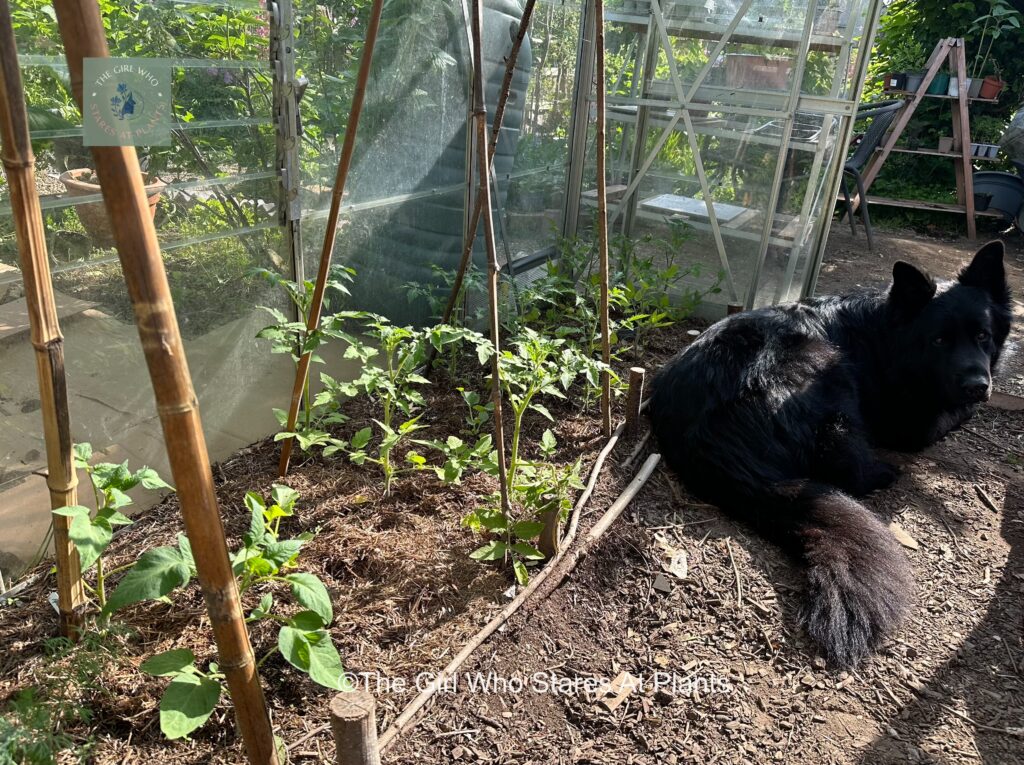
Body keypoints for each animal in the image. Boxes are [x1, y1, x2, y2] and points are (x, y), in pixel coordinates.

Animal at [647, 242, 1007, 667]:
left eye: (983, 336)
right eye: (938, 342)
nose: (978, 386)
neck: (885, 332)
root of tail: (708, 441)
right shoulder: (913, 423)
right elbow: (953, 416)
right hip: (828, 373)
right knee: (854, 474)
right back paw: (884, 471)